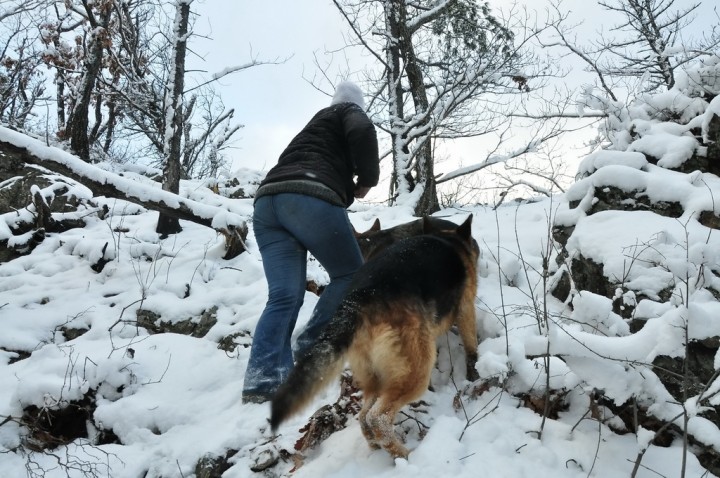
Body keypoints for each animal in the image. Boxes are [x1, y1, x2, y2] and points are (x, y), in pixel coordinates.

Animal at [270, 215, 478, 458]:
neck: (449, 240)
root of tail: (360, 299)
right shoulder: (466, 308)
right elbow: (471, 345)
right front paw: (474, 372)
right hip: (415, 372)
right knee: (378, 417)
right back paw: (403, 455)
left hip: (373, 376)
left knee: (364, 416)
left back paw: (376, 446)